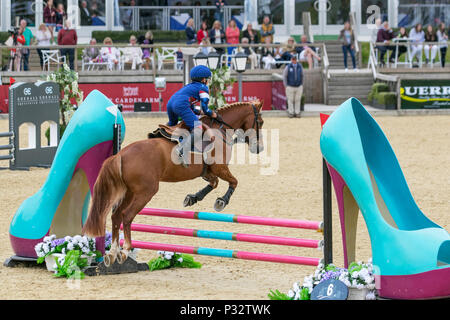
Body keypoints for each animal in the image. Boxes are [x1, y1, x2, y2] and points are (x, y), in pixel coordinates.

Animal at [81, 100, 264, 264]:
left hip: (130, 192)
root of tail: (120, 154)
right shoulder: (220, 168)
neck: (220, 130)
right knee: (127, 216)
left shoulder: (209, 172)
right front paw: (221, 201)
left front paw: (192, 198)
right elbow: (234, 182)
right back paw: (125, 250)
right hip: (146, 191)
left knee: (116, 216)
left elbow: (214, 183)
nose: (259, 148)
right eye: (260, 122)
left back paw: (112, 253)